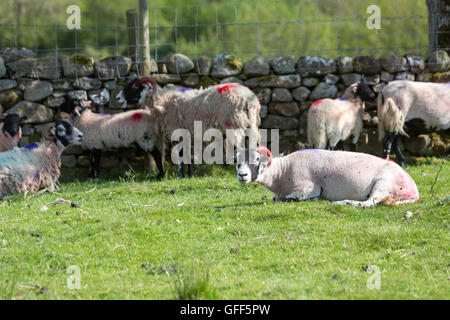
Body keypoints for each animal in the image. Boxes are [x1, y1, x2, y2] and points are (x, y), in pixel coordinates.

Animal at [116, 77, 262, 178]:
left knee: (242, 146)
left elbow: (180, 154)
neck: (162, 102)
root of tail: (250, 100)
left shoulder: (176, 130)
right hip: (251, 123)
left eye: (135, 87)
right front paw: (189, 175)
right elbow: (186, 153)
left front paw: (180, 176)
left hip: (234, 122)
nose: (117, 98)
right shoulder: (185, 132)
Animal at [236, 145, 418, 208]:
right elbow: (276, 199)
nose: (242, 175)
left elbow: (292, 198)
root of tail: (414, 192)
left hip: (383, 182)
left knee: (369, 203)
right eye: (236, 161)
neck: (282, 171)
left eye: (256, 160)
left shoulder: (308, 188)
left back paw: (345, 203)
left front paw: (317, 199)